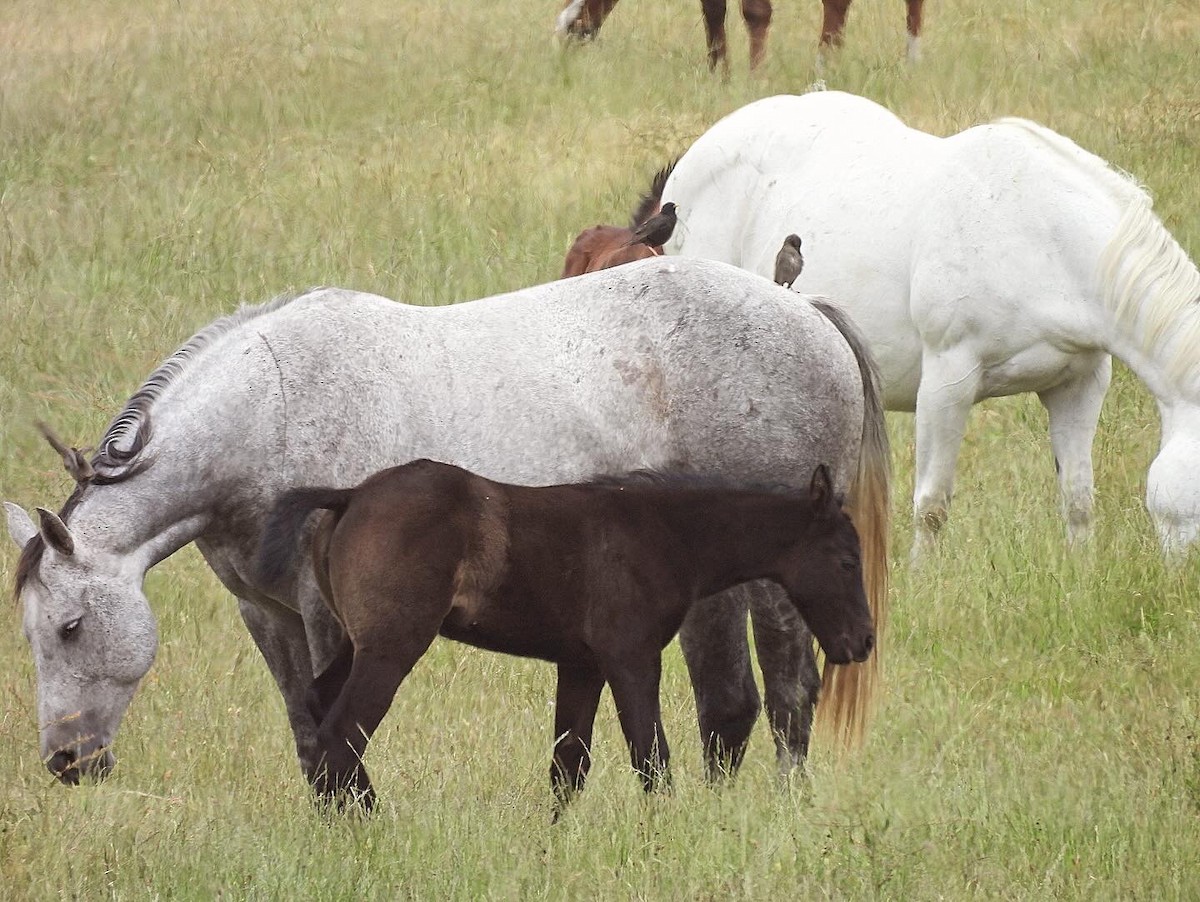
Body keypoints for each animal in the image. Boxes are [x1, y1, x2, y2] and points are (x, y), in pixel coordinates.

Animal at [258, 460, 873, 815]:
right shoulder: (631, 657)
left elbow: (568, 766)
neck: (671, 532)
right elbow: (651, 758)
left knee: (319, 709)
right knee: (340, 736)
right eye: (846, 561)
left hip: (357, 643)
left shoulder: (583, 665)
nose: (862, 642)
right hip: (392, 648)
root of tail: (350, 496)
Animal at [662, 91, 1200, 556]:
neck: (1040, 234)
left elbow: (1078, 497)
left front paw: (1080, 569)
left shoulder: (1079, 383)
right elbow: (932, 505)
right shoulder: (948, 381)